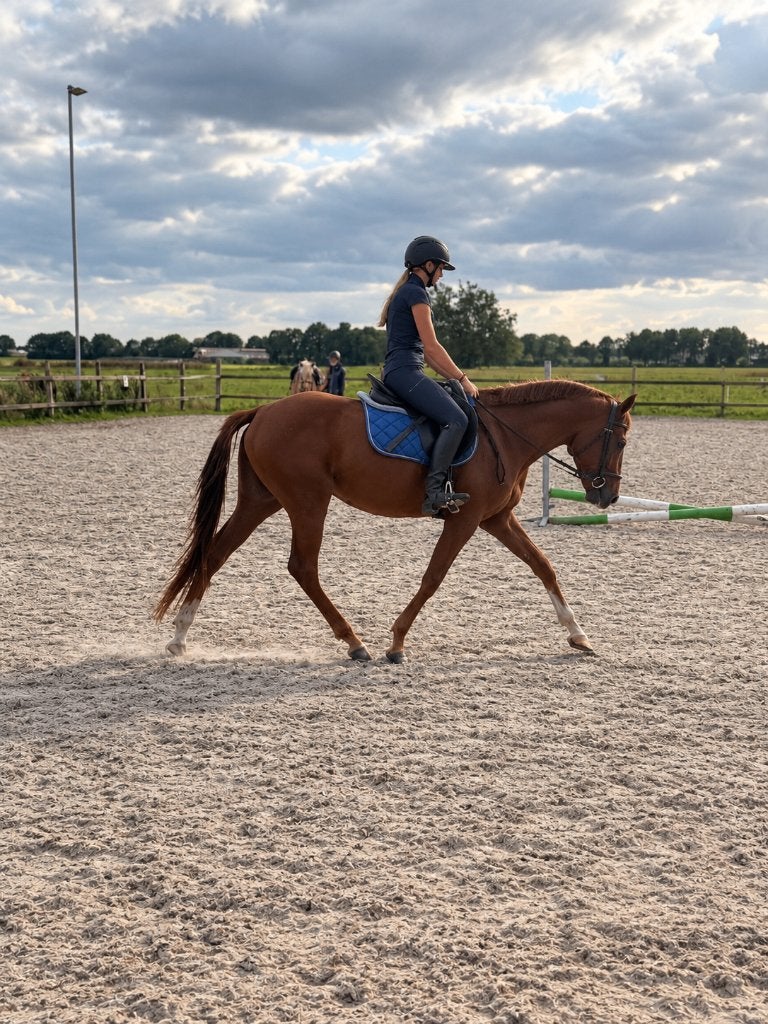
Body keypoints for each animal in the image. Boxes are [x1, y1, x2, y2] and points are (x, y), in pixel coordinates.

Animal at [154, 380, 636, 662]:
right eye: (622, 439)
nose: (607, 495)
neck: (504, 436)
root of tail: (263, 411)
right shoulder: (464, 519)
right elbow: (433, 577)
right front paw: (397, 642)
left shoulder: (497, 518)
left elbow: (543, 567)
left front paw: (578, 635)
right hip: (308, 502)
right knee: (302, 567)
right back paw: (354, 642)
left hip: (262, 501)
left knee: (215, 554)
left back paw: (179, 638)